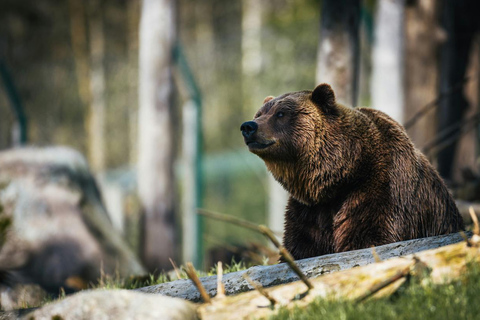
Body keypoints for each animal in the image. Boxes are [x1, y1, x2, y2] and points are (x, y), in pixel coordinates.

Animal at [240, 83, 464, 260]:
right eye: (259, 114)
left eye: (281, 114)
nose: (248, 126)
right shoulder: (309, 210)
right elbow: (301, 246)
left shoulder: (380, 188)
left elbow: (369, 237)